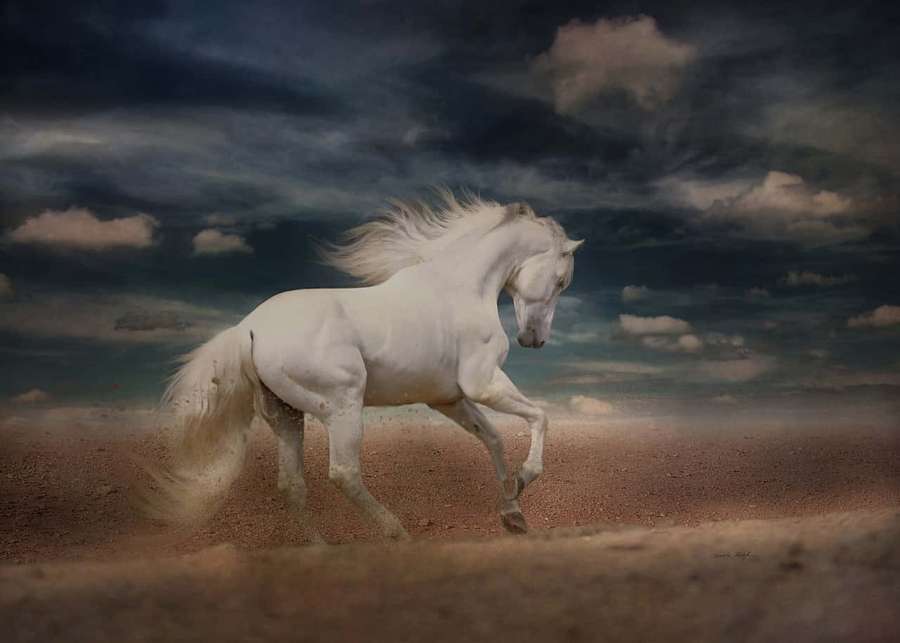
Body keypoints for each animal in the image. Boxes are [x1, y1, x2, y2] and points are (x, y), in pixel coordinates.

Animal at [141, 192, 584, 541]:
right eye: (561, 281)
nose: (534, 339)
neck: (460, 287)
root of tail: (248, 327)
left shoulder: (448, 399)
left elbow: (492, 438)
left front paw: (513, 513)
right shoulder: (483, 383)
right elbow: (539, 417)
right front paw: (524, 479)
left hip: (286, 415)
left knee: (292, 485)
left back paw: (321, 551)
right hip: (342, 405)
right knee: (343, 473)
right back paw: (397, 533)